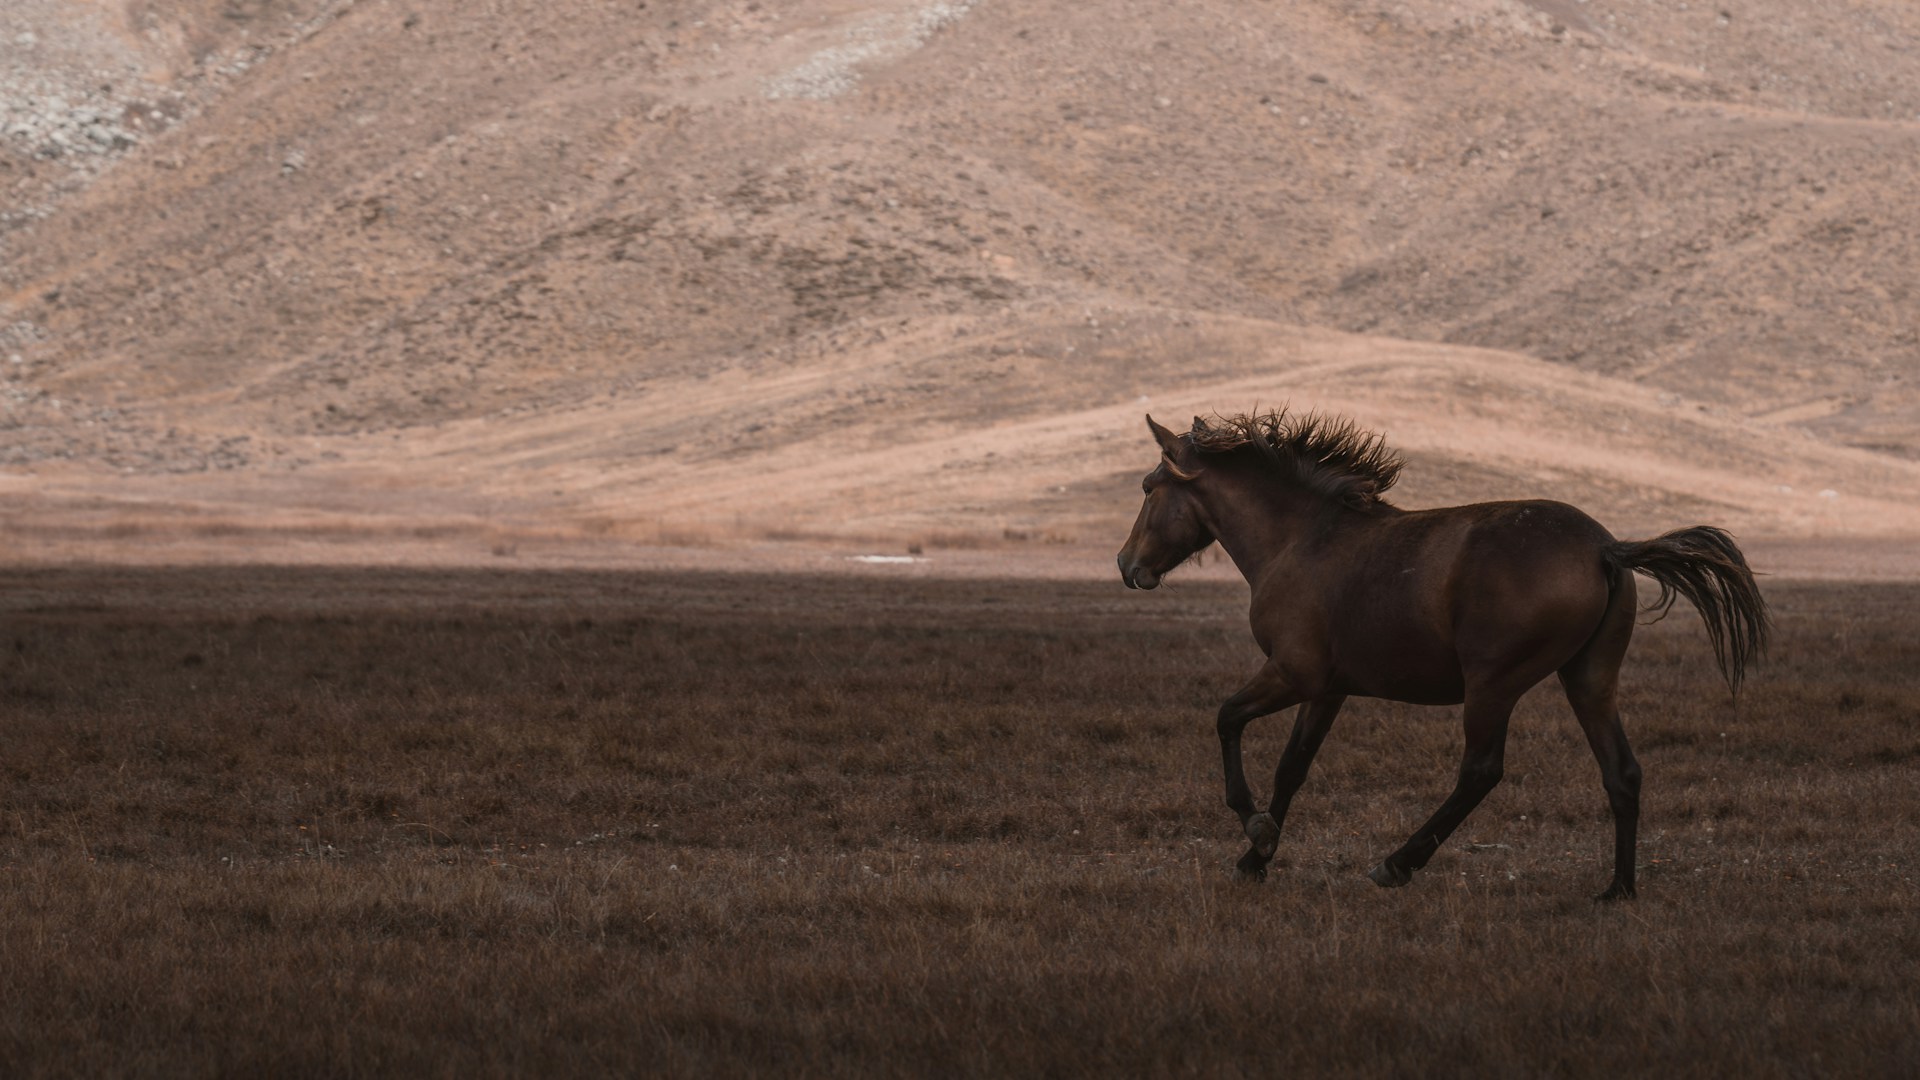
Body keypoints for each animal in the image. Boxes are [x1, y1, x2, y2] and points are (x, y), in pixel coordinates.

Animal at [1115, 411, 1769, 900]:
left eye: (1148, 488)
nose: (1126, 566)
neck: (1299, 541)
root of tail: (1606, 549)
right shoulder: (1328, 689)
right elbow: (1292, 767)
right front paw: (1258, 856)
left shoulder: (1293, 674)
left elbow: (1227, 720)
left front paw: (1255, 831)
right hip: (1589, 679)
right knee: (1622, 772)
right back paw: (1618, 890)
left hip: (1493, 686)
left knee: (1480, 771)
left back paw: (1397, 864)